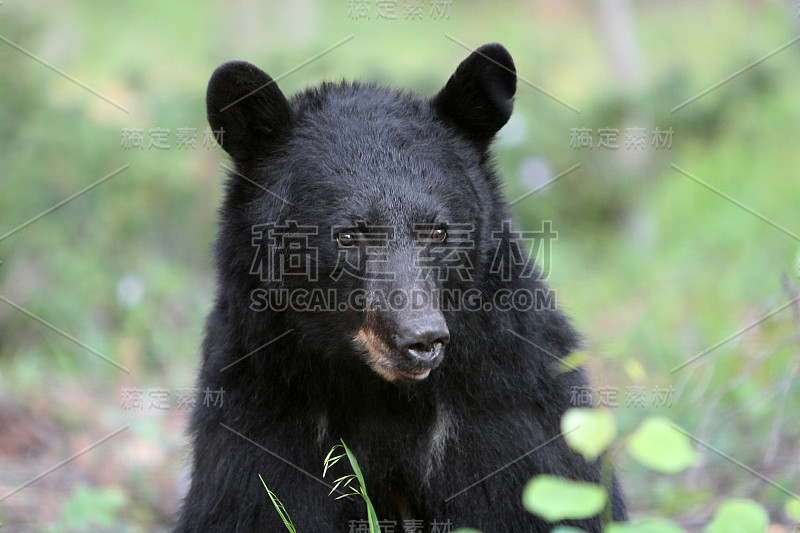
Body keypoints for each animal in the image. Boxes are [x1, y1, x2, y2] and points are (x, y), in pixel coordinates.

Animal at [175, 43, 624, 528]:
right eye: (348, 235)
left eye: (439, 232)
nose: (420, 338)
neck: (383, 393)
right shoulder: (261, 407)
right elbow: (256, 503)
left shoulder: (509, 404)